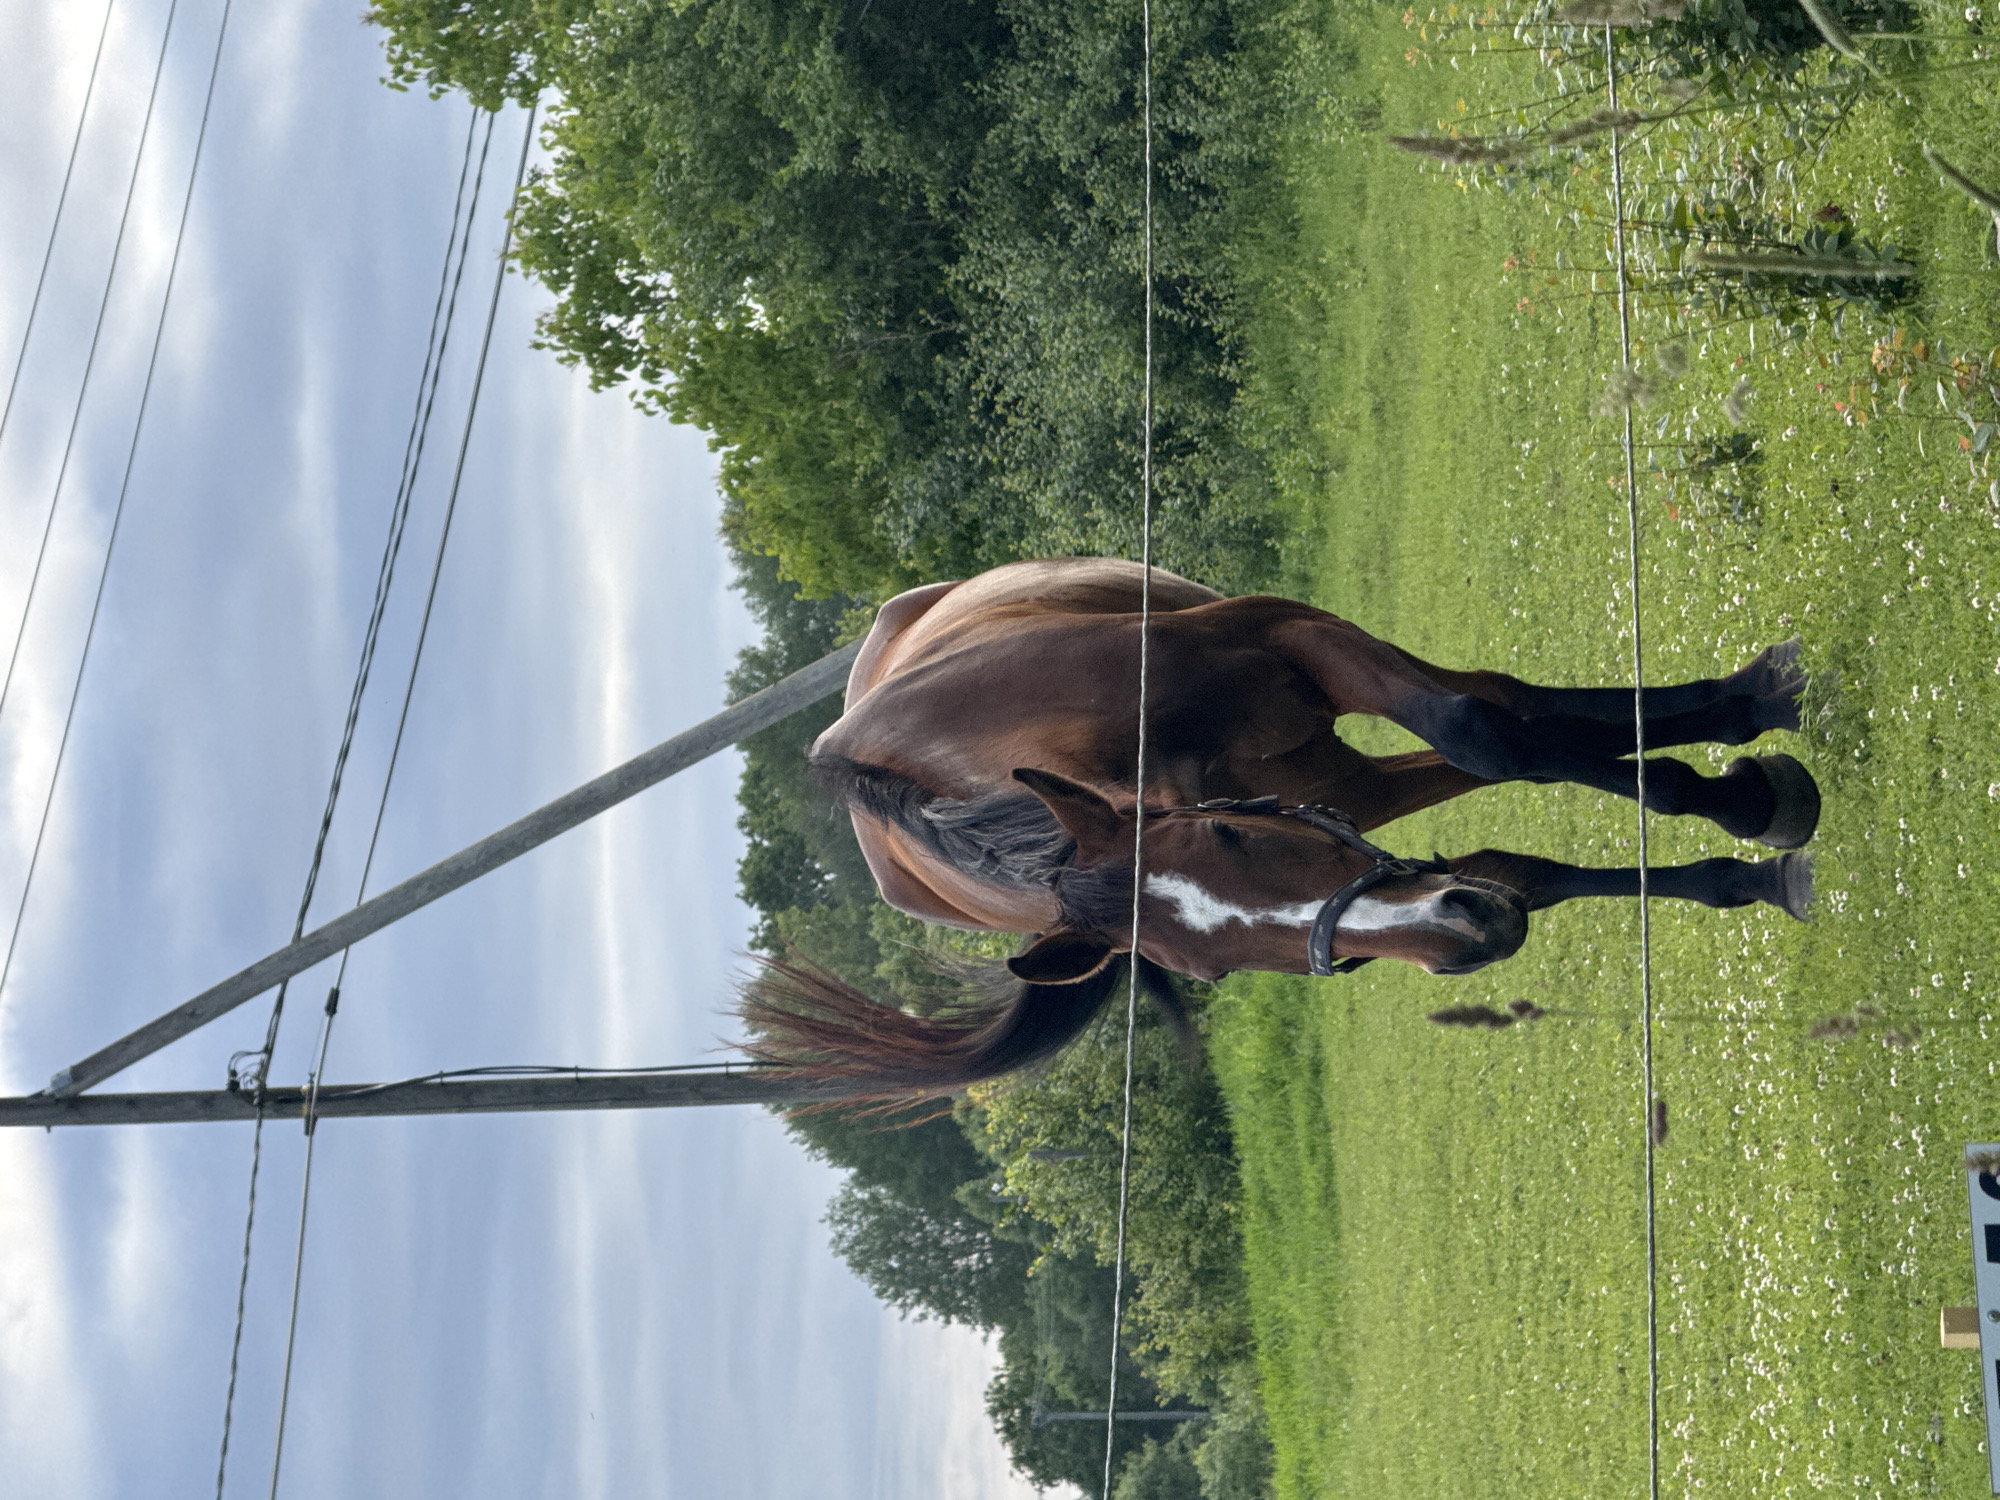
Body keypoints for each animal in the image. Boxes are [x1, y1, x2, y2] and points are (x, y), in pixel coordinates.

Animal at [742, 557, 1818, 1097]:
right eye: (1209, 971)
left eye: (1232, 840)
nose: (1466, 940)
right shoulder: (1350, 811)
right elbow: (1515, 835)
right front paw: (1745, 850)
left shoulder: (1299, 642)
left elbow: (1482, 730)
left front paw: (1743, 783)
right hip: (1348, 783)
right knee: (1507, 751)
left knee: (1497, 704)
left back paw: (1741, 712)